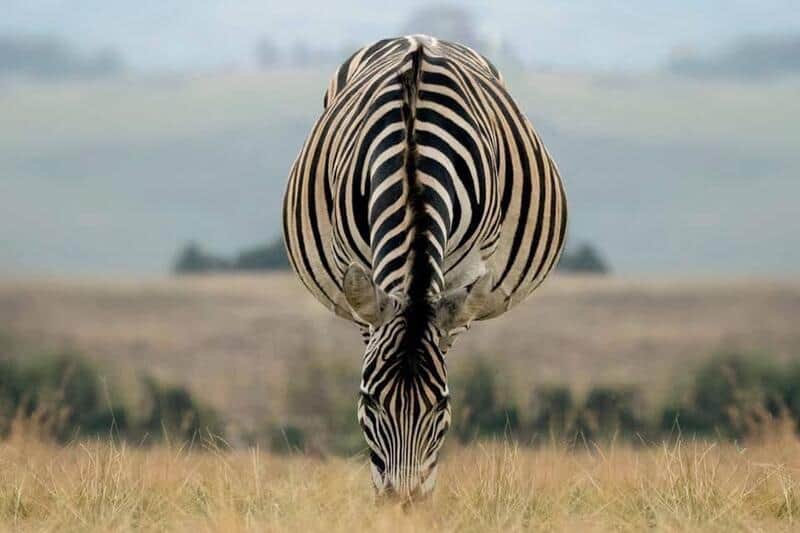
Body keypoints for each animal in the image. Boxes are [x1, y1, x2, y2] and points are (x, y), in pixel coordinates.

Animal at [283, 35, 567, 499]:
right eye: (369, 402)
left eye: (441, 405)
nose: (402, 504)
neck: (413, 169)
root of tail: (418, 38)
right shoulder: (361, 275)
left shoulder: (462, 276)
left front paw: (427, 483)